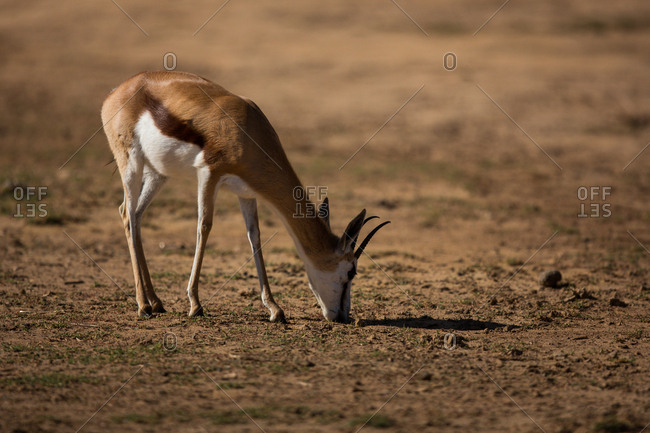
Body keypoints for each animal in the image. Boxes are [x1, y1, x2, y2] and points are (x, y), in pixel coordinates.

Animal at [101, 71, 389, 323]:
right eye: (351, 270)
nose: (342, 316)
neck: (247, 131)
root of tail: (117, 91)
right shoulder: (209, 174)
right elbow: (204, 227)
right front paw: (195, 304)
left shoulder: (247, 193)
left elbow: (255, 238)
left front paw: (275, 309)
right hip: (131, 163)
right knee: (127, 214)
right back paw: (143, 306)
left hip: (158, 174)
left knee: (134, 215)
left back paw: (156, 302)